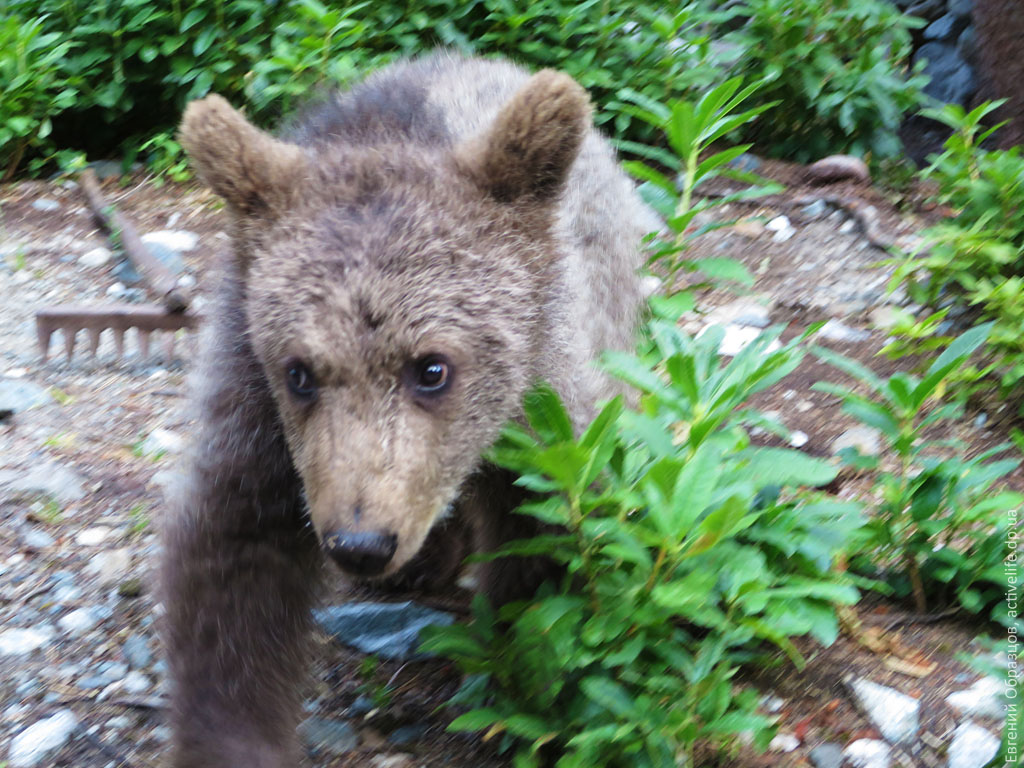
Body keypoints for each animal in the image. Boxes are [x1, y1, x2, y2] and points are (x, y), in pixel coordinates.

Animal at [163, 51, 651, 765]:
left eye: (432, 368)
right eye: (300, 372)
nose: (362, 543)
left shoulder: (543, 395)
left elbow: (544, 533)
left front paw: (525, 686)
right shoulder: (256, 398)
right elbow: (234, 557)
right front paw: (236, 736)